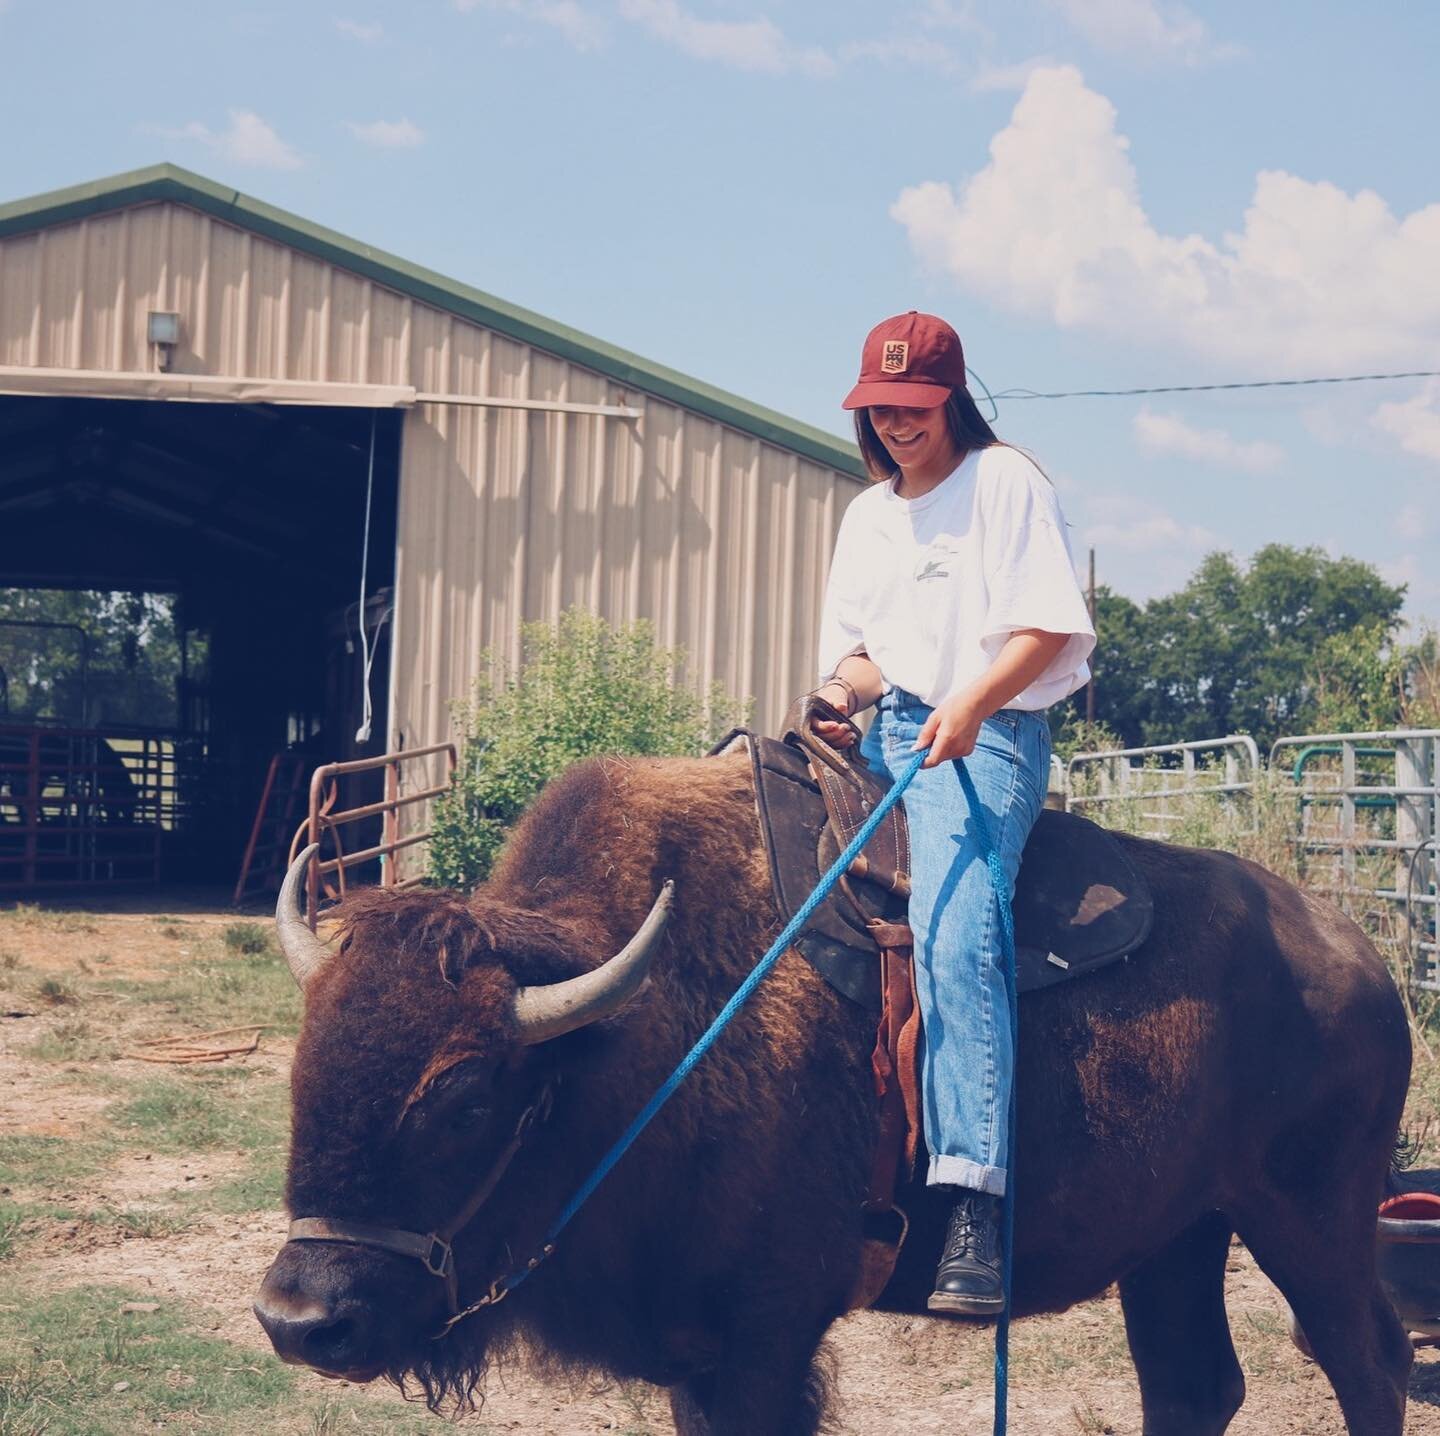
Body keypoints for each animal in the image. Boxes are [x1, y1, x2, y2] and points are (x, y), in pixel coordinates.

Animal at [253, 748, 1411, 1434]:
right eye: (304, 1068)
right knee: (1193, 1384)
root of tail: (1357, 953)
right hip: (1178, 1237)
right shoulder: (695, 1354)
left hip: (1308, 1223)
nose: (301, 1319)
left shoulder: (765, 1338)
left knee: (1369, 1363)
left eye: (467, 1100)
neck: (633, 1042)